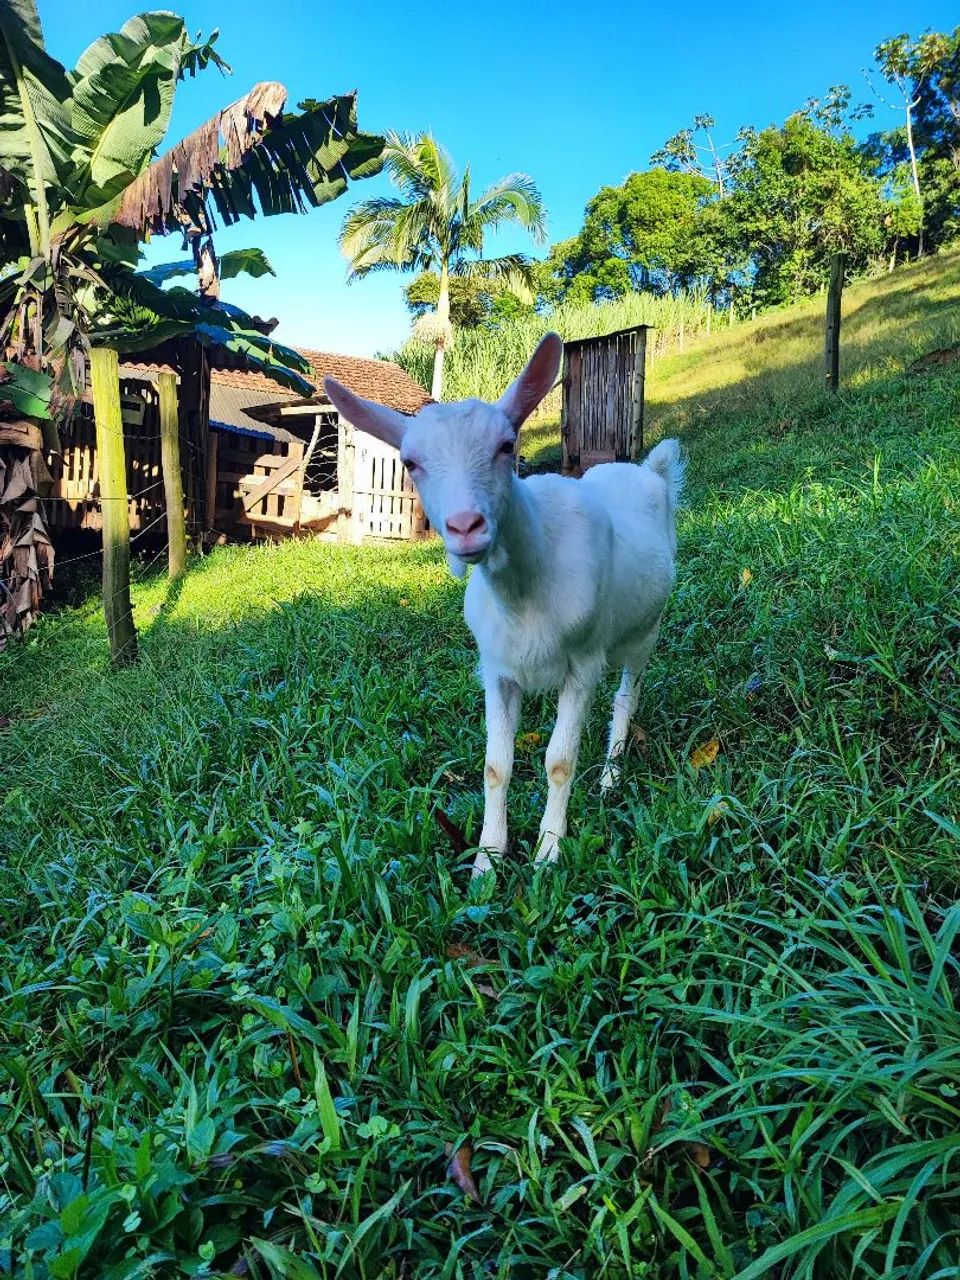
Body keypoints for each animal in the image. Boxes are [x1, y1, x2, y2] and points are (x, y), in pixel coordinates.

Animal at [324, 333, 683, 874]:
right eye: (409, 463)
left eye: (506, 446)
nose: (465, 527)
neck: (526, 593)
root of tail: (649, 471)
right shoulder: (496, 669)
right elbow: (496, 765)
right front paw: (487, 859)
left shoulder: (583, 663)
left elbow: (560, 761)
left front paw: (548, 852)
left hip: (645, 630)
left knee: (627, 695)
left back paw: (610, 778)